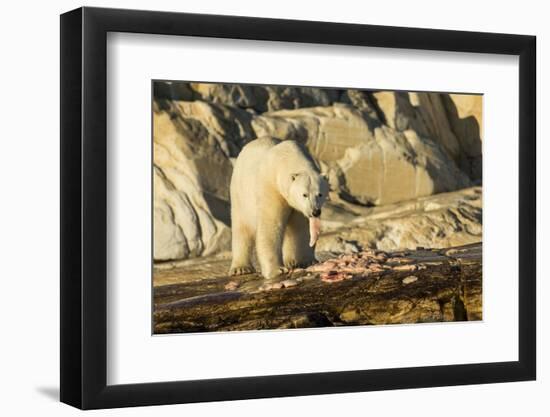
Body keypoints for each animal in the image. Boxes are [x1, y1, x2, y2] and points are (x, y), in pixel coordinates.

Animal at [230, 137, 330, 280]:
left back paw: (291, 261)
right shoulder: (272, 189)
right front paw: (277, 270)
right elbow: (271, 225)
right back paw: (241, 268)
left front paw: (307, 261)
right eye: (304, 194)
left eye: (320, 194)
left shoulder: (297, 206)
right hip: (241, 194)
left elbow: (301, 227)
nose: (315, 211)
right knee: (242, 228)